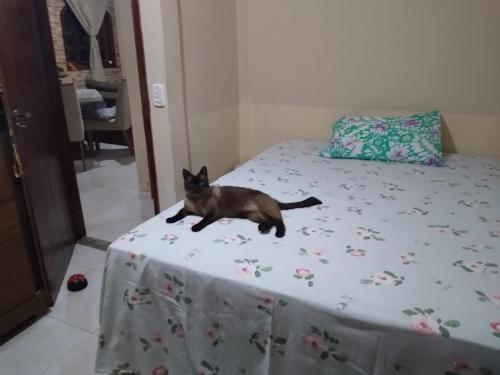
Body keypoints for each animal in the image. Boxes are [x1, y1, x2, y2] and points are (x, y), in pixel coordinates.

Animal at [165, 167, 320, 238]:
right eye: (192, 183)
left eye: (202, 182)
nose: (198, 186)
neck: (197, 199)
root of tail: (271, 197)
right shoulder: (186, 210)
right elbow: (177, 214)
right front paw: (169, 220)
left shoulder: (212, 213)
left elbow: (202, 221)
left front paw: (195, 227)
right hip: (251, 215)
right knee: (269, 222)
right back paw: (263, 228)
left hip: (265, 211)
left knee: (279, 222)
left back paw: (278, 234)